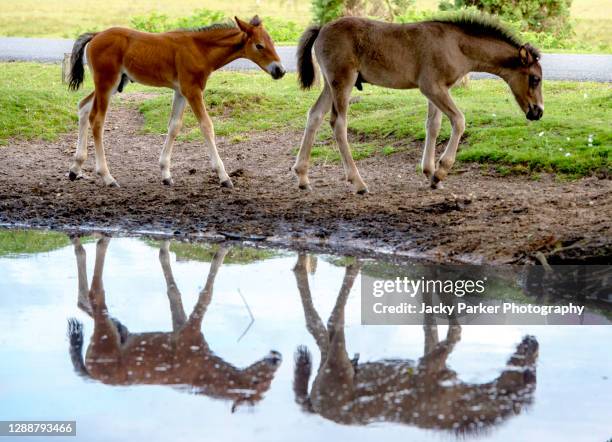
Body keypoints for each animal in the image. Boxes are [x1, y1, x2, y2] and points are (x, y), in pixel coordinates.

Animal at [67, 16, 286, 186]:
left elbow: (174, 126)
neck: (200, 49)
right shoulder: (192, 90)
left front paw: (166, 174)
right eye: (259, 45)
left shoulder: (181, 92)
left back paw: (76, 168)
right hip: (106, 83)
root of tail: (96, 35)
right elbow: (206, 126)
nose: (280, 70)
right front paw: (223, 176)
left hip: (113, 84)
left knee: (83, 107)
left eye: (272, 42)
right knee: (97, 120)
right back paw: (107, 176)